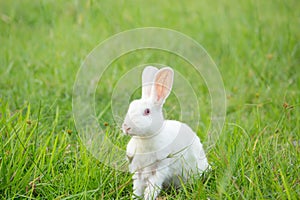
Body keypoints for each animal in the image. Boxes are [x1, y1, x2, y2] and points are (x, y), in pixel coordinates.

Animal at [121, 66, 209, 199]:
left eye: (147, 111)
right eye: (130, 107)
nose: (126, 127)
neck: (144, 140)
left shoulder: (160, 168)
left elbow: (153, 187)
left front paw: (148, 198)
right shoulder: (138, 169)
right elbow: (138, 188)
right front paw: (135, 198)